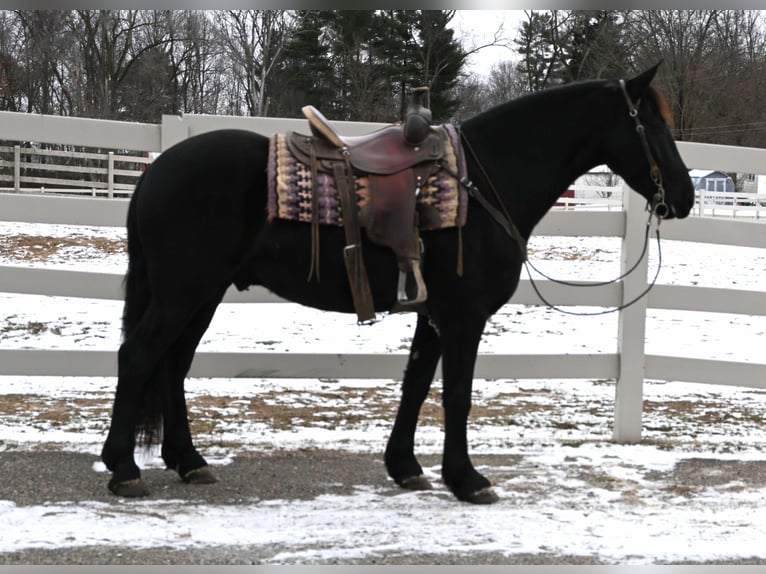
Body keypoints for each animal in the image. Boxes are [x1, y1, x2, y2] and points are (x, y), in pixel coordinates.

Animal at [99, 65, 692, 504]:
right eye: (653, 126)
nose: (684, 197)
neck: (481, 181)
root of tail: (155, 171)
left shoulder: (433, 313)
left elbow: (415, 385)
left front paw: (405, 466)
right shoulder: (464, 316)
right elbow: (456, 394)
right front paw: (466, 478)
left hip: (201, 294)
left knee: (172, 365)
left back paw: (188, 461)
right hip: (182, 292)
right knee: (140, 357)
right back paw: (123, 468)